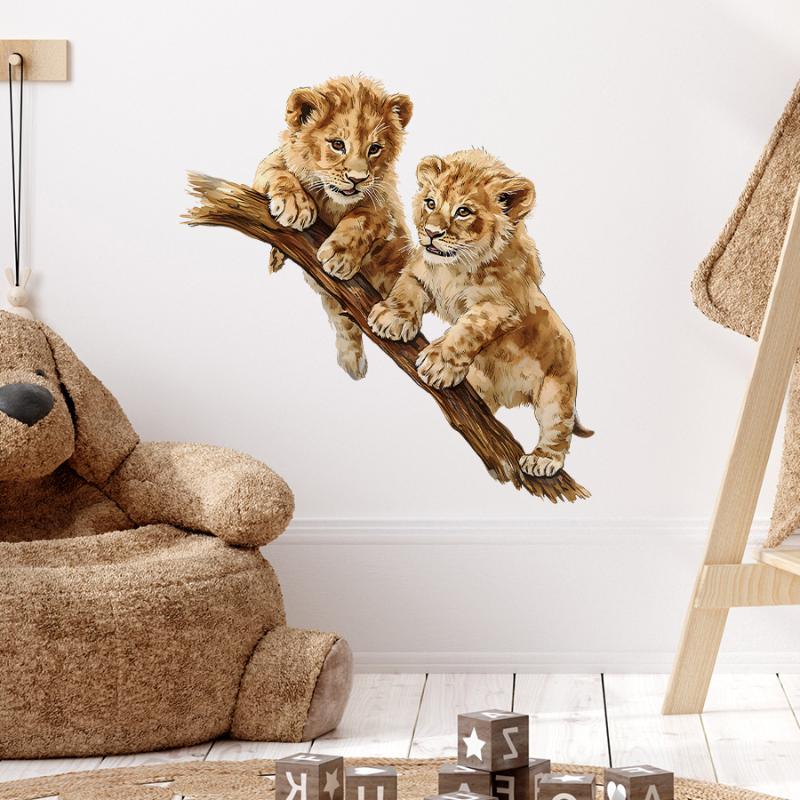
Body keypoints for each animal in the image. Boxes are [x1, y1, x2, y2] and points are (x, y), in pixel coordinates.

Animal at [253, 75, 413, 380]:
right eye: (338, 144)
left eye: (374, 148)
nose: (357, 179)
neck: (331, 200)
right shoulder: (269, 166)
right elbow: (276, 172)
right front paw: (295, 205)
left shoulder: (385, 204)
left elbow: (364, 217)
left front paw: (340, 256)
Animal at [368, 148, 592, 477]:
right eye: (430, 203)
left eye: (463, 212)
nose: (431, 233)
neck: (455, 266)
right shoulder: (420, 273)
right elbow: (405, 289)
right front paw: (393, 318)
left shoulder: (502, 306)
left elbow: (468, 327)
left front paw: (439, 363)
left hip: (557, 388)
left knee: (557, 427)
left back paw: (543, 459)